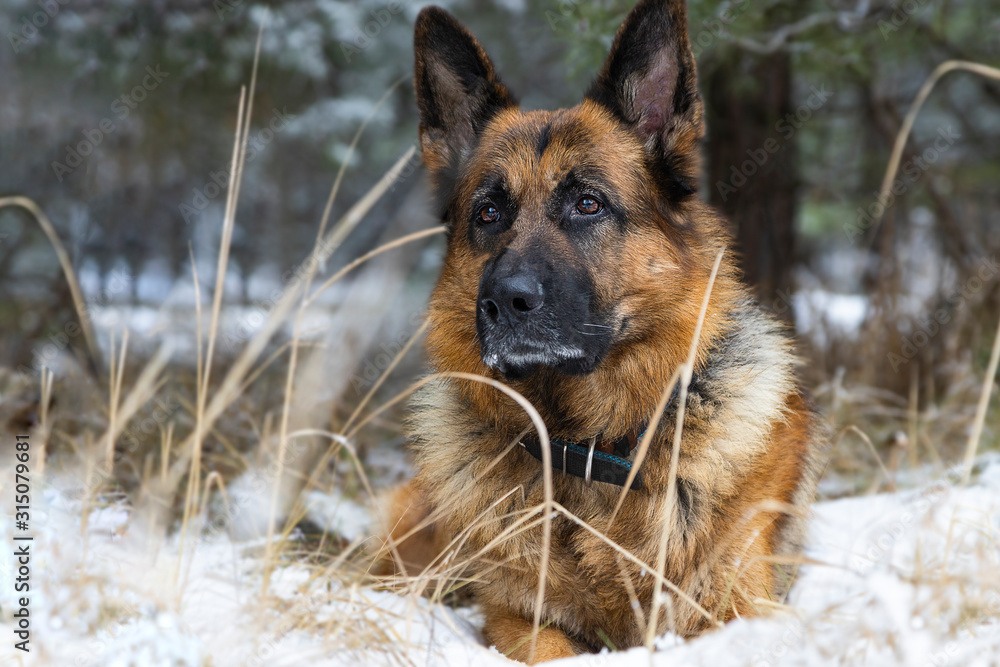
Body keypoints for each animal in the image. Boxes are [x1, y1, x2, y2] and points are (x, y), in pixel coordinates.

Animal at [378, 0, 824, 660]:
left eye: (588, 204)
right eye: (489, 213)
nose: (503, 301)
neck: (588, 448)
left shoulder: (740, 609)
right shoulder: (514, 618)